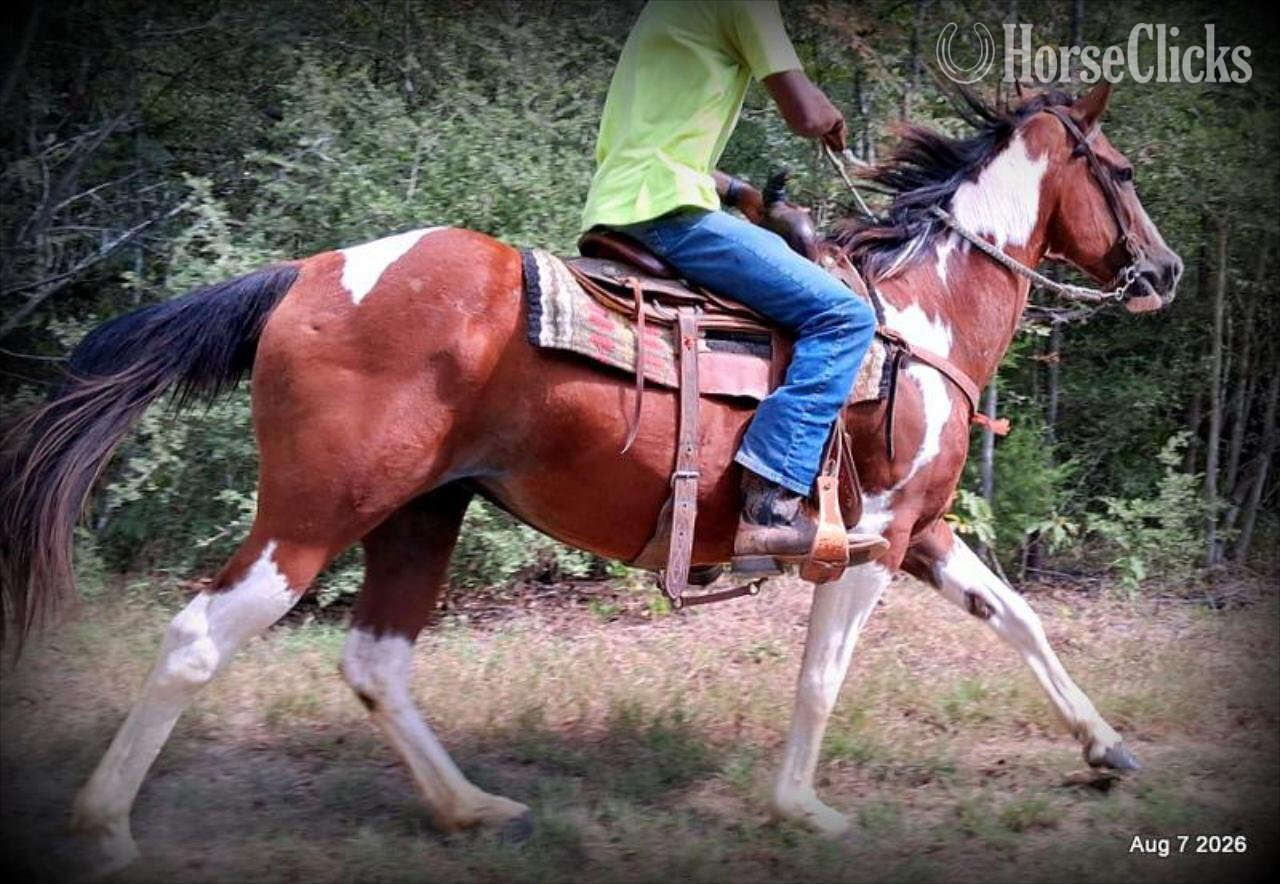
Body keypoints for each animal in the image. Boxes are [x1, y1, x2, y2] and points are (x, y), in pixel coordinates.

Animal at [1, 82, 1181, 873]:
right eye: (1120, 171)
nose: (1163, 271)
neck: (916, 315)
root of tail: (310, 273)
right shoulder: (873, 539)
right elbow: (821, 675)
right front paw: (804, 809)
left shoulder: (920, 529)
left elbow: (1017, 617)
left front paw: (1107, 747)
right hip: (315, 513)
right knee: (200, 636)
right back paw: (106, 826)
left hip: (421, 511)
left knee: (377, 660)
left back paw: (472, 809)